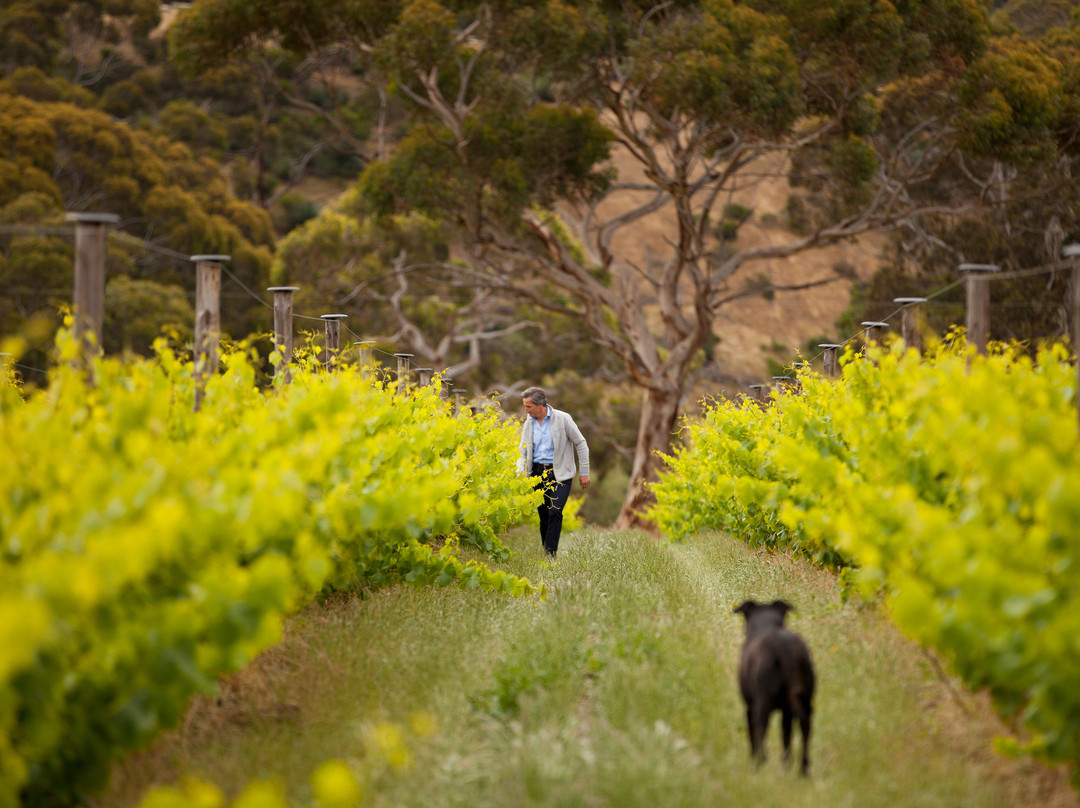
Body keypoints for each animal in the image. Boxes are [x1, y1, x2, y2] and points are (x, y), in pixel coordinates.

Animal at [730, 600, 812, 777]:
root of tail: (784, 649)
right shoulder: (787, 712)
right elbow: (786, 738)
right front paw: (786, 766)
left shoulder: (750, 708)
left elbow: (753, 736)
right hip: (804, 701)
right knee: (805, 730)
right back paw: (802, 770)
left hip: (763, 702)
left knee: (761, 730)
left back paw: (761, 764)